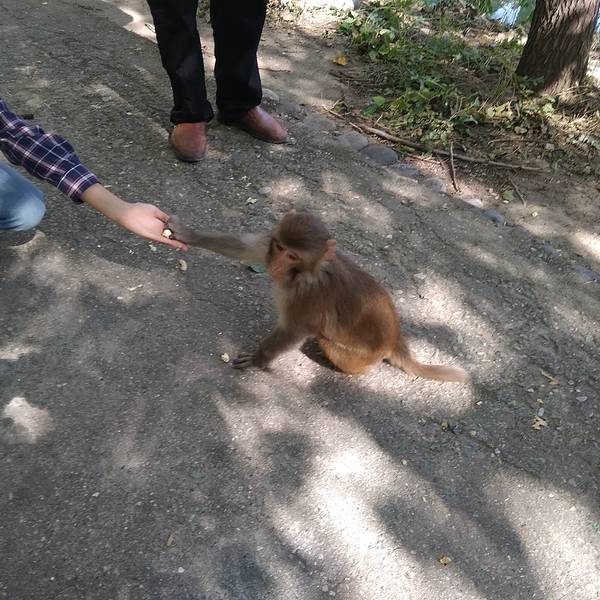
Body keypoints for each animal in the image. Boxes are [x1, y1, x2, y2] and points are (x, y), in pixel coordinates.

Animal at [167, 212, 468, 382]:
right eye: (280, 248)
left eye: (293, 256)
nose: (276, 265)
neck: (302, 276)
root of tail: (395, 339)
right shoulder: (266, 249)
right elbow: (241, 247)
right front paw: (188, 233)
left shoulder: (309, 299)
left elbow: (294, 331)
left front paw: (259, 359)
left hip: (359, 354)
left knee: (329, 340)